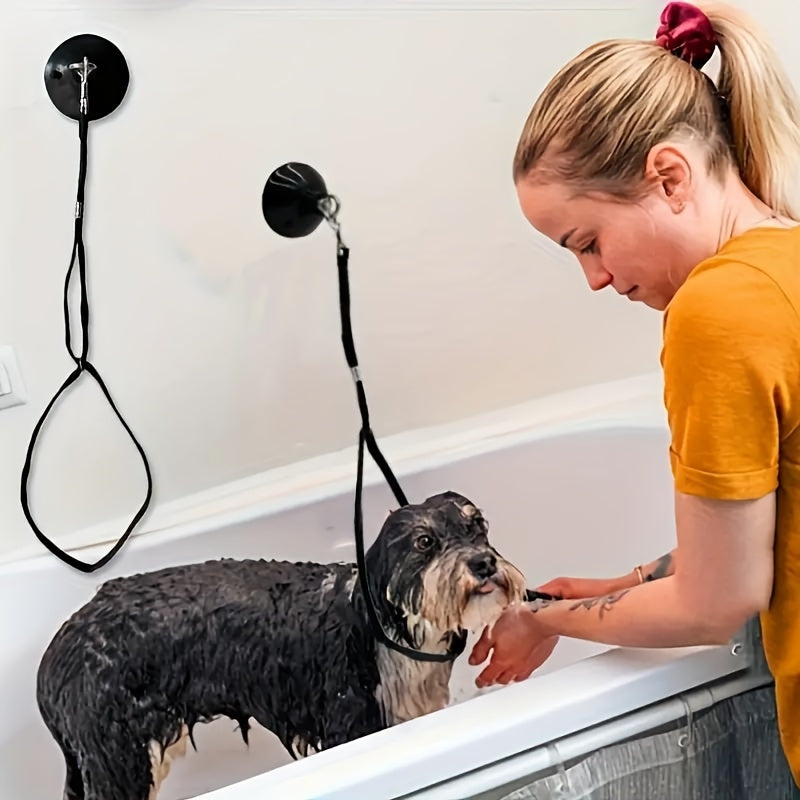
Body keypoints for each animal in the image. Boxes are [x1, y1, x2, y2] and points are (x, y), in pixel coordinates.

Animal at [37, 490, 528, 796]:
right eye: (426, 541)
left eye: (478, 526)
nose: (484, 563)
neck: (388, 631)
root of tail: (59, 649)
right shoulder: (351, 725)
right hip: (118, 758)